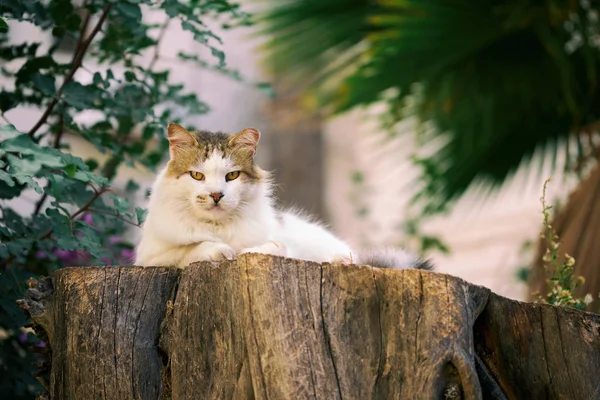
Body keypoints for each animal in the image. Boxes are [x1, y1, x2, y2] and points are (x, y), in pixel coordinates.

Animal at [135, 123, 432, 270]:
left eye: (232, 176)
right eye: (197, 176)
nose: (217, 195)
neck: (218, 227)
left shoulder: (278, 244)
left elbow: (271, 248)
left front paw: (239, 252)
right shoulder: (150, 260)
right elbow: (187, 251)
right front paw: (219, 250)